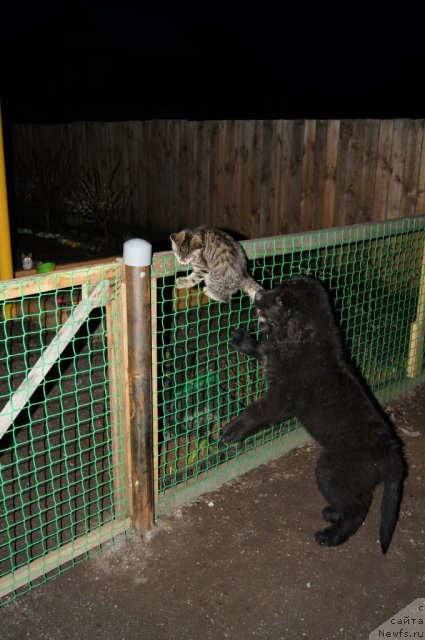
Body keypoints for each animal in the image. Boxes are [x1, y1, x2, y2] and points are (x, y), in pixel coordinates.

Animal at [220, 272, 406, 552]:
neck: (306, 340)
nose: (260, 294)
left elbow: (256, 411)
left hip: (332, 471)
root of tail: (391, 455)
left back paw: (331, 536)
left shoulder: (281, 396)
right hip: (354, 478)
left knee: (356, 510)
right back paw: (333, 514)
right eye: (278, 289)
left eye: (281, 301)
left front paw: (232, 430)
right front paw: (244, 341)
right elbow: (263, 348)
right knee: (362, 500)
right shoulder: (275, 357)